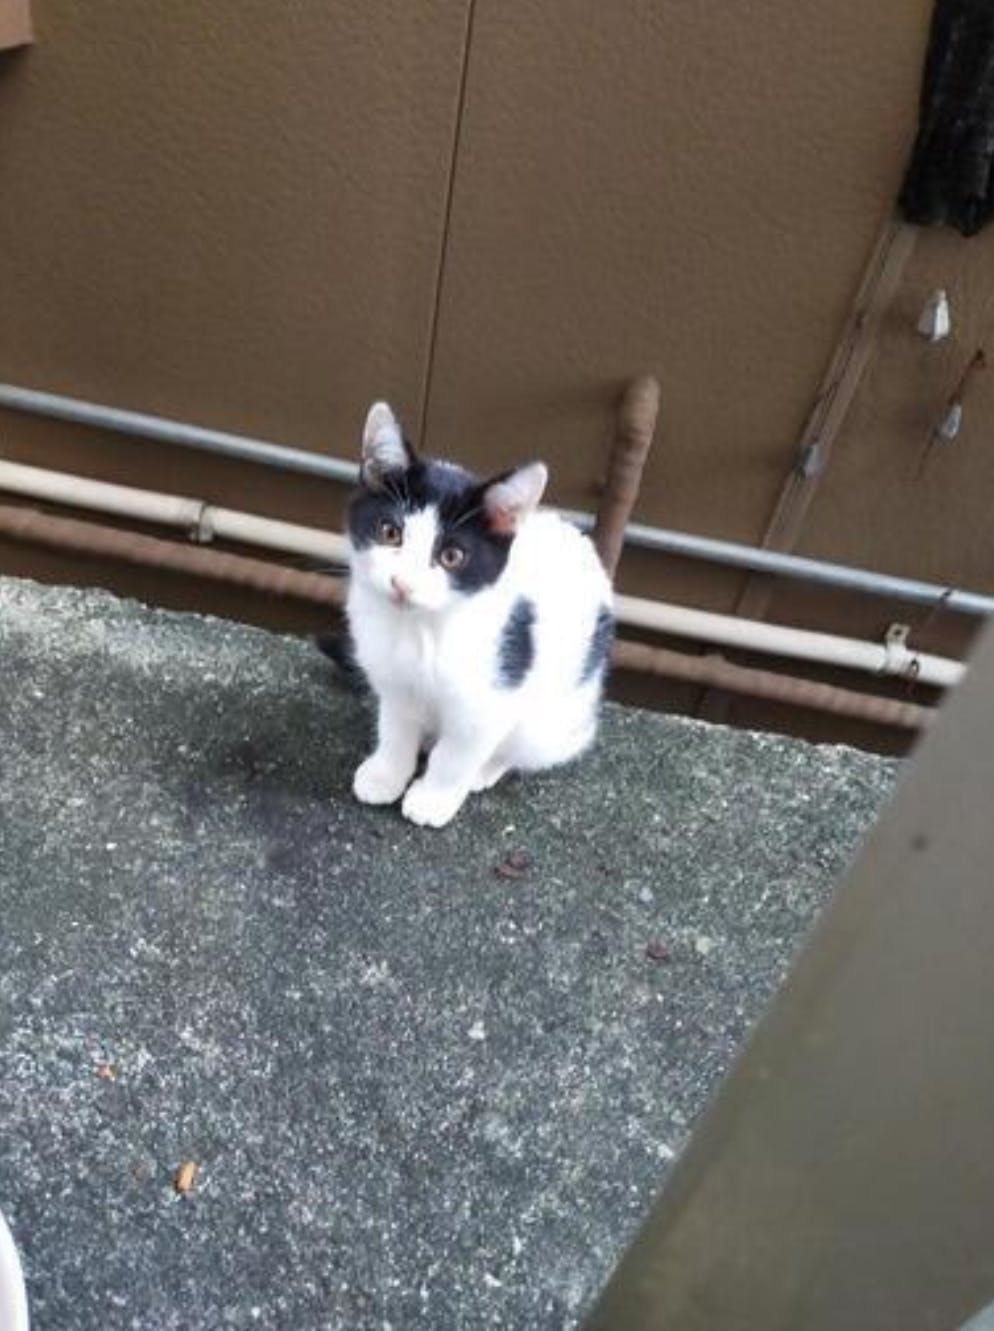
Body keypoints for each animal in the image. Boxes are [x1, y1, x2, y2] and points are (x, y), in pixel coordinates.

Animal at [345, 402, 614, 828]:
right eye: (389, 532)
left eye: (452, 556)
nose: (402, 584)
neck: (418, 629)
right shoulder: (395, 683)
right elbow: (396, 727)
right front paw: (386, 774)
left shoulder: (489, 702)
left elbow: (457, 755)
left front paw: (433, 798)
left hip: (551, 718)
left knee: (521, 745)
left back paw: (486, 770)